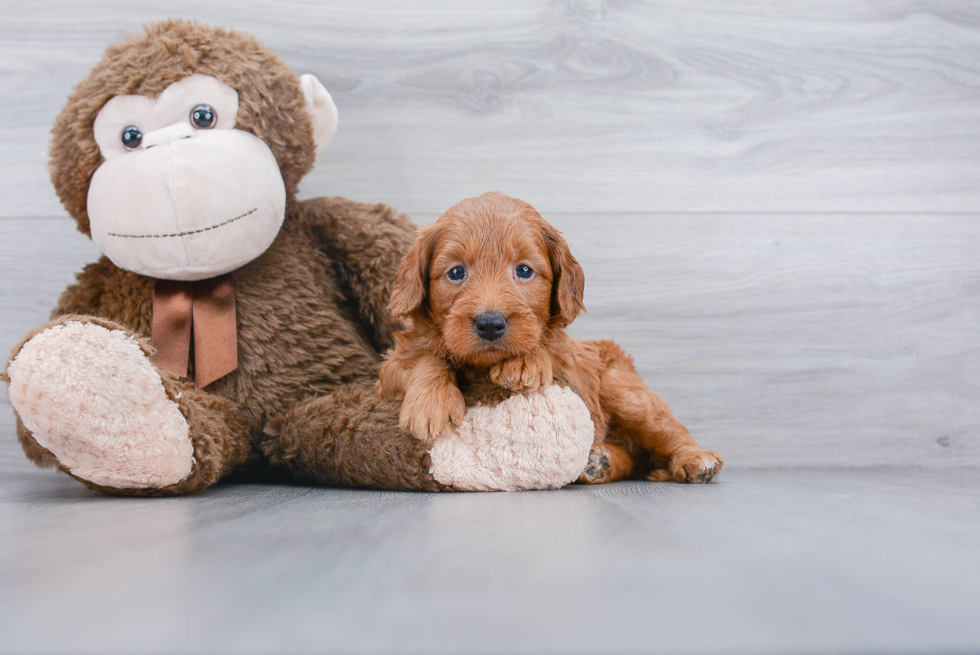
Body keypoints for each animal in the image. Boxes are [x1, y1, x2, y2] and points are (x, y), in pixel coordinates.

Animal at [378, 192, 724, 484]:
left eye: (524, 270)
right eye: (456, 273)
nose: (490, 323)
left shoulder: (570, 363)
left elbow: (545, 343)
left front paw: (524, 361)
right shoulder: (389, 372)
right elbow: (426, 356)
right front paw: (431, 402)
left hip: (626, 392)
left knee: (667, 430)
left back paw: (697, 459)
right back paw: (600, 461)